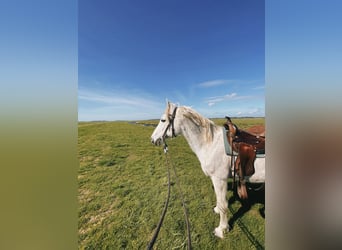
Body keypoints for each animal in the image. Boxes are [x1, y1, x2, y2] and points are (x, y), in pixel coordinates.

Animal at [151, 101, 266, 238]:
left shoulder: (219, 179)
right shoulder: (215, 180)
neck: (211, 143)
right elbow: (219, 201)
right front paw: (217, 211)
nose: (153, 139)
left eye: (163, 120)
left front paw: (222, 229)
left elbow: (223, 205)